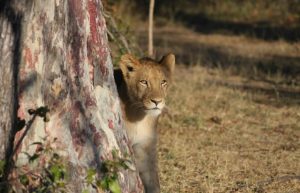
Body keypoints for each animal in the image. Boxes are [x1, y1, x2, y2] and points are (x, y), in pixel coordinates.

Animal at [115, 53, 176, 193]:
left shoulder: (145, 147)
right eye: (144, 82)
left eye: (163, 82)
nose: (157, 101)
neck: (140, 117)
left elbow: (153, 181)